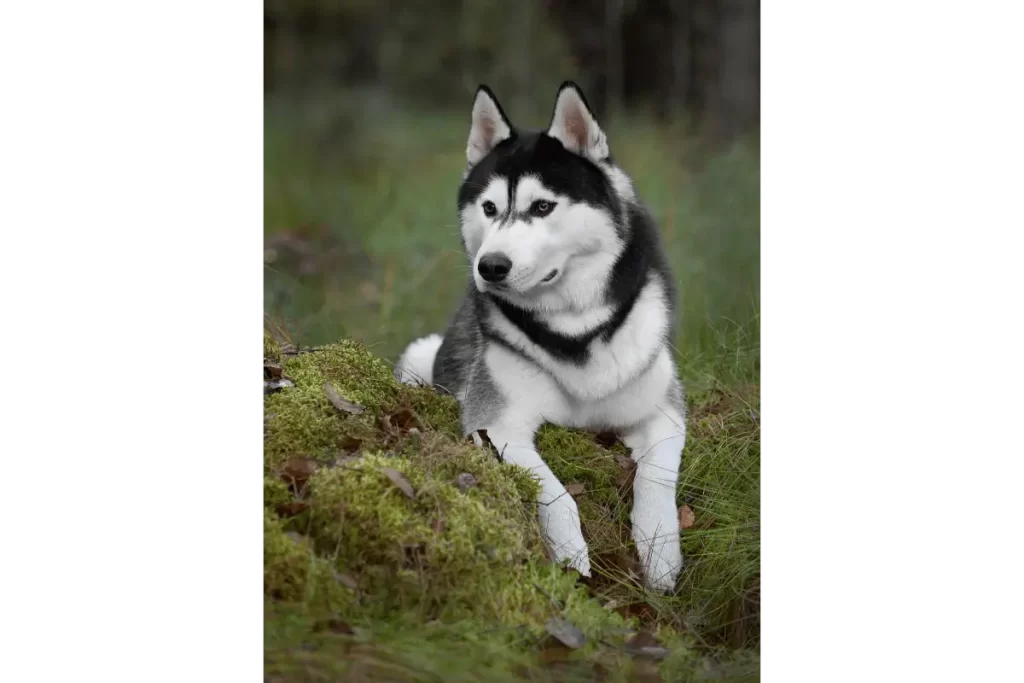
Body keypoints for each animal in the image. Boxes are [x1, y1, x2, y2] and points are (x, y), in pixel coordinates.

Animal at [391, 81, 688, 593]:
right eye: (490, 208)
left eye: (543, 206)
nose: (490, 266)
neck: (573, 328)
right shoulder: (497, 424)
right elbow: (555, 492)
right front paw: (570, 555)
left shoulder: (664, 412)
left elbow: (657, 478)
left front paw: (660, 552)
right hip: (421, 355)